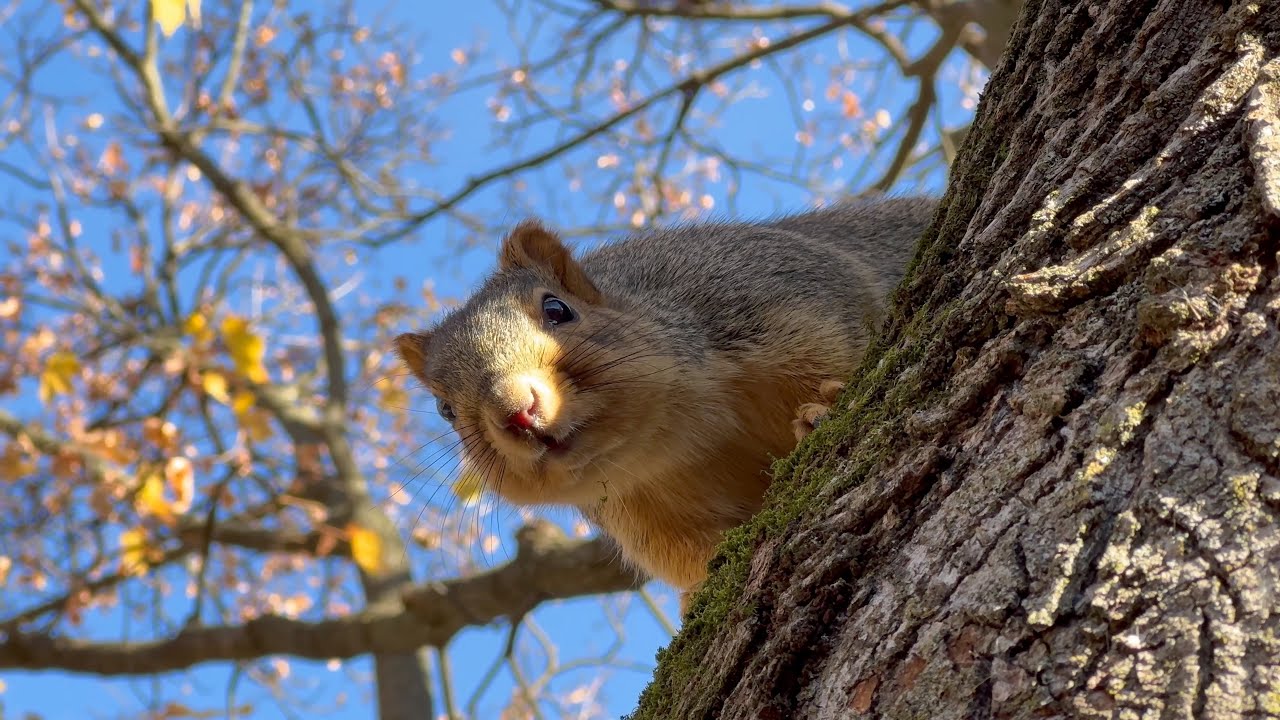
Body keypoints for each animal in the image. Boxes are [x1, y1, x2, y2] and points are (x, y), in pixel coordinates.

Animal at [394, 196, 936, 613]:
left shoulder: (782, 296)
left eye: (556, 309)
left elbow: (844, 349)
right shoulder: (643, 510)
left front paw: (820, 407)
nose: (517, 411)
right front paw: (697, 591)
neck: (678, 432)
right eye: (444, 409)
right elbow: (684, 555)